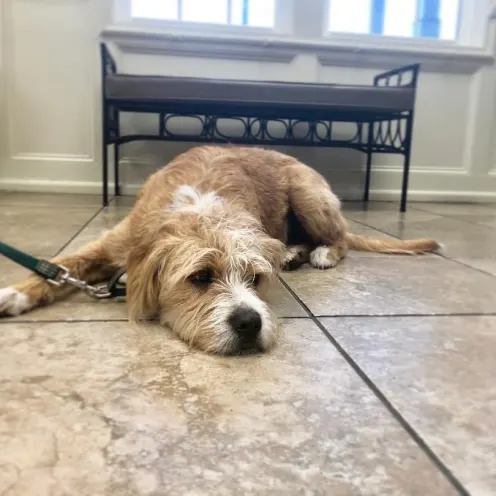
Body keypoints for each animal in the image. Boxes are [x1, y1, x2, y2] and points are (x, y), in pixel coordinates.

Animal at [0, 145, 442, 354]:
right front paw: (15, 293)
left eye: (255, 279)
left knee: (342, 238)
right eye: (200, 277)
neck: (202, 208)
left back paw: (321, 253)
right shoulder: (116, 242)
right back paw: (293, 253)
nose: (250, 323)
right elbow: (58, 265)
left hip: (308, 195)